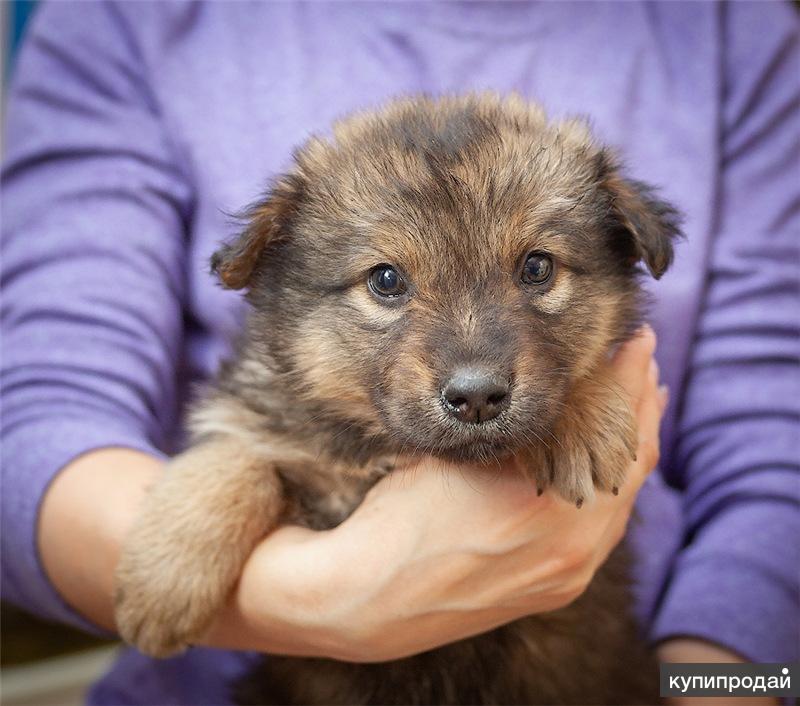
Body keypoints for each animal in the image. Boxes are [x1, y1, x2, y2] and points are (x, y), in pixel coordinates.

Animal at [117, 95, 680, 704]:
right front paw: (163, 580)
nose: (477, 396)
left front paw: (583, 420)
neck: (386, 450)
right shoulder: (273, 425)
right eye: (386, 280)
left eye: (537, 267)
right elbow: (234, 459)